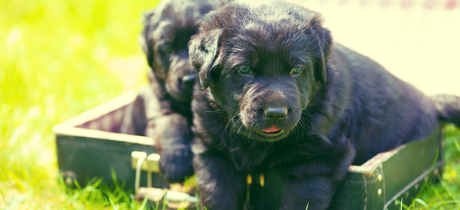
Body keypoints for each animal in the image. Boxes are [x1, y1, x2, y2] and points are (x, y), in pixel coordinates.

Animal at [188, 0, 460, 209]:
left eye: (296, 70)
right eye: (244, 70)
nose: (276, 113)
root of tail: (431, 103)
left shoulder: (318, 159)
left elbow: (300, 202)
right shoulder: (213, 152)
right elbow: (217, 195)